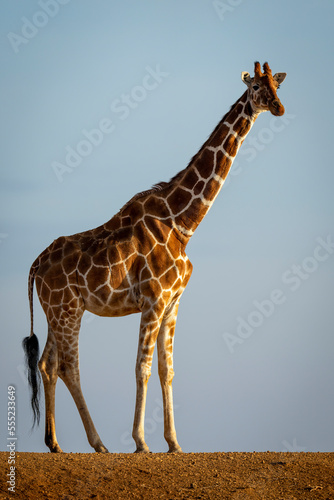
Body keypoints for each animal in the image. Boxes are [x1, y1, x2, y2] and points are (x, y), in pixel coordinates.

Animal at [22, 61, 286, 454]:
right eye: (255, 86)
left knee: (46, 364)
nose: (278, 107)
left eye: (276, 85)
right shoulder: (153, 300)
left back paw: (55, 443)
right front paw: (141, 441)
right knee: (68, 366)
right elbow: (142, 367)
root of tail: (35, 265)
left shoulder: (173, 302)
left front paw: (174, 443)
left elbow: (167, 370)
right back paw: (99, 443)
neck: (183, 222)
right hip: (66, 310)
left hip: (58, 310)